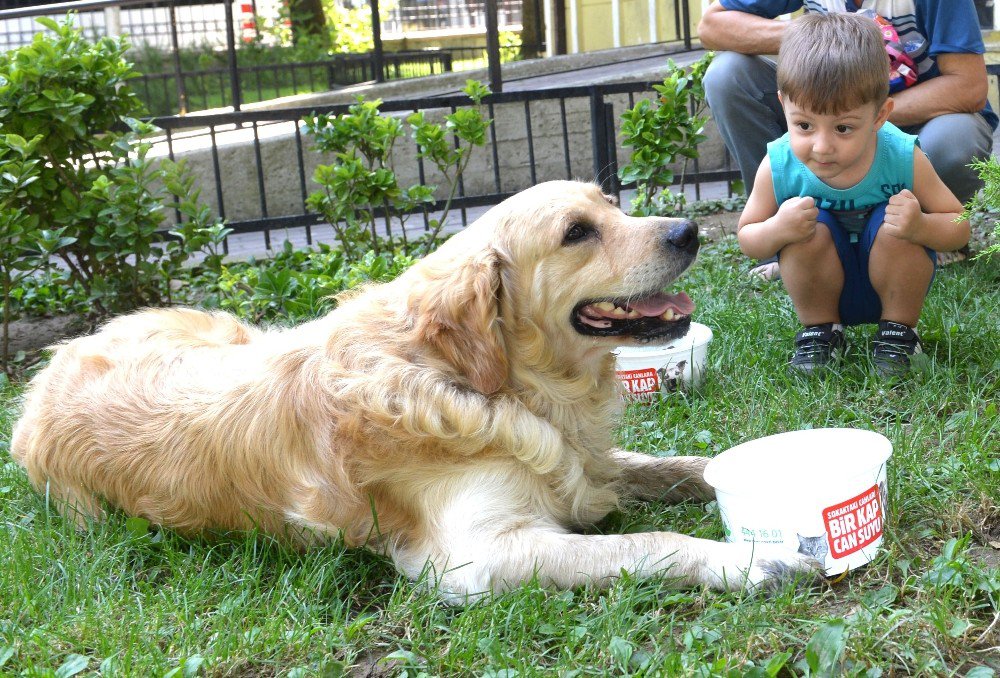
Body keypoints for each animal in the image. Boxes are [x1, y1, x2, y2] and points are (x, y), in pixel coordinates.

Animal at [11, 179, 816, 600]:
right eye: (577, 232)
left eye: (612, 204)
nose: (689, 230)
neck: (488, 382)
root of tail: (45, 373)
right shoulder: (476, 558)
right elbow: (647, 541)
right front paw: (749, 561)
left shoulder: (581, 457)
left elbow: (679, 466)